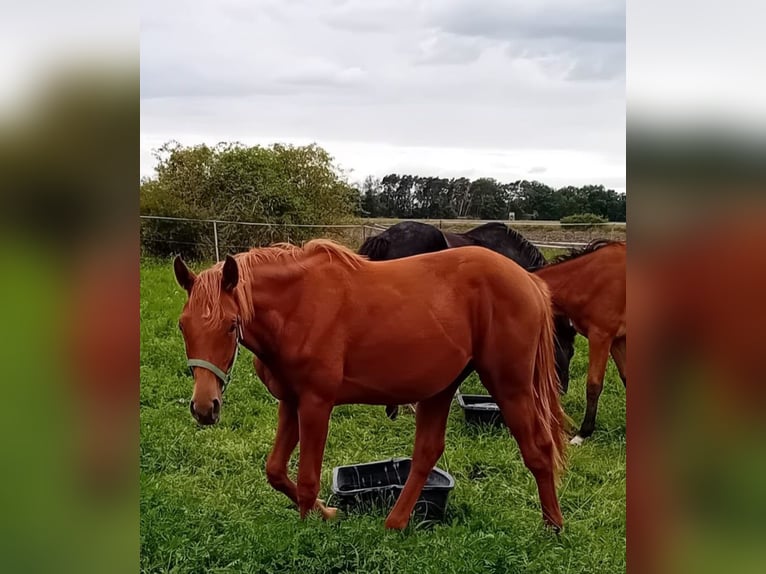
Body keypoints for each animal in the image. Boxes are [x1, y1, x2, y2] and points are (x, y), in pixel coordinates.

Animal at [173, 239, 568, 530]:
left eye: (230, 324)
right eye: (183, 325)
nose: (204, 407)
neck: (297, 306)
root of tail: (530, 282)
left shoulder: (316, 404)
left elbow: (307, 479)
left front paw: (311, 528)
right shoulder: (290, 401)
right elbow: (275, 471)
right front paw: (325, 513)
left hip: (511, 387)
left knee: (538, 449)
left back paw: (553, 526)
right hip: (440, 389)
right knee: (426, 454)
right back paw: (395, 523)